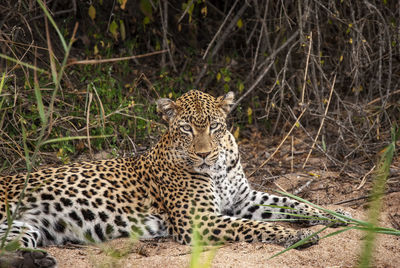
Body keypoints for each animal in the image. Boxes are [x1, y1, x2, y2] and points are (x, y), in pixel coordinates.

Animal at [0, 90, 348, 266]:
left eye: (214, 126)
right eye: (186, 129)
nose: (204, 154)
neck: (218, 166)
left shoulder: (243, 199)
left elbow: (290, 202)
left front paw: (341, 215)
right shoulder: (201, 220)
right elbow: (258, 227)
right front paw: (297, 236)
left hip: (23, 228)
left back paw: (37, 261)